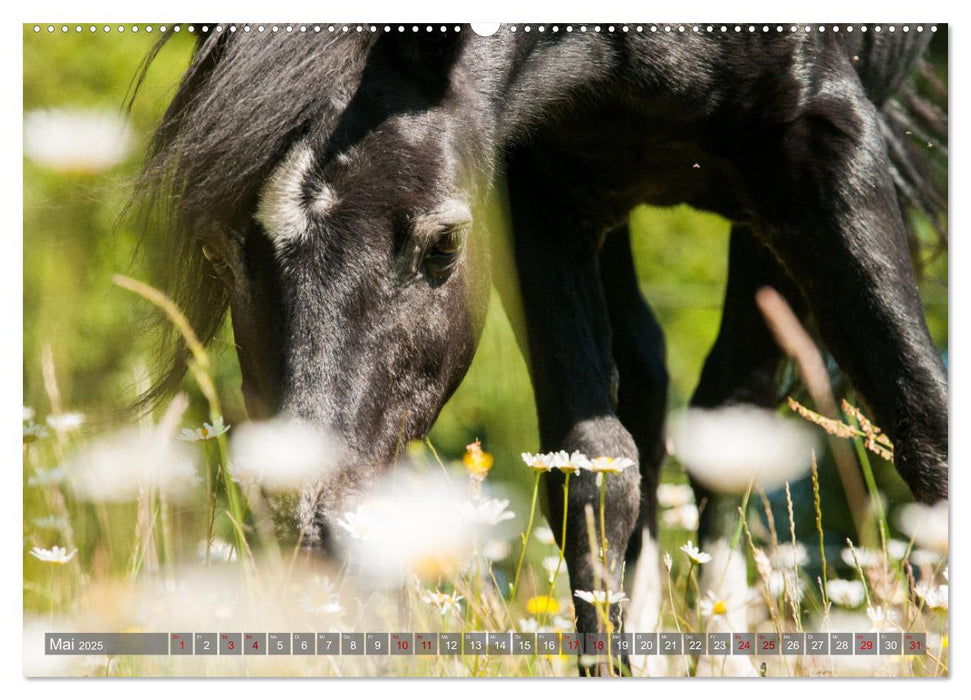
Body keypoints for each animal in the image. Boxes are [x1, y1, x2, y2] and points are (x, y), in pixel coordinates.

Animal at [137, 24, 948, 672]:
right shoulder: (537, 187)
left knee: (733, 409)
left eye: (442, 244)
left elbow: (921, 417)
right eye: (216, 255)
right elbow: (592, 470)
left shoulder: (823, 141)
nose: (309, 531)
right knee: (650, 379)